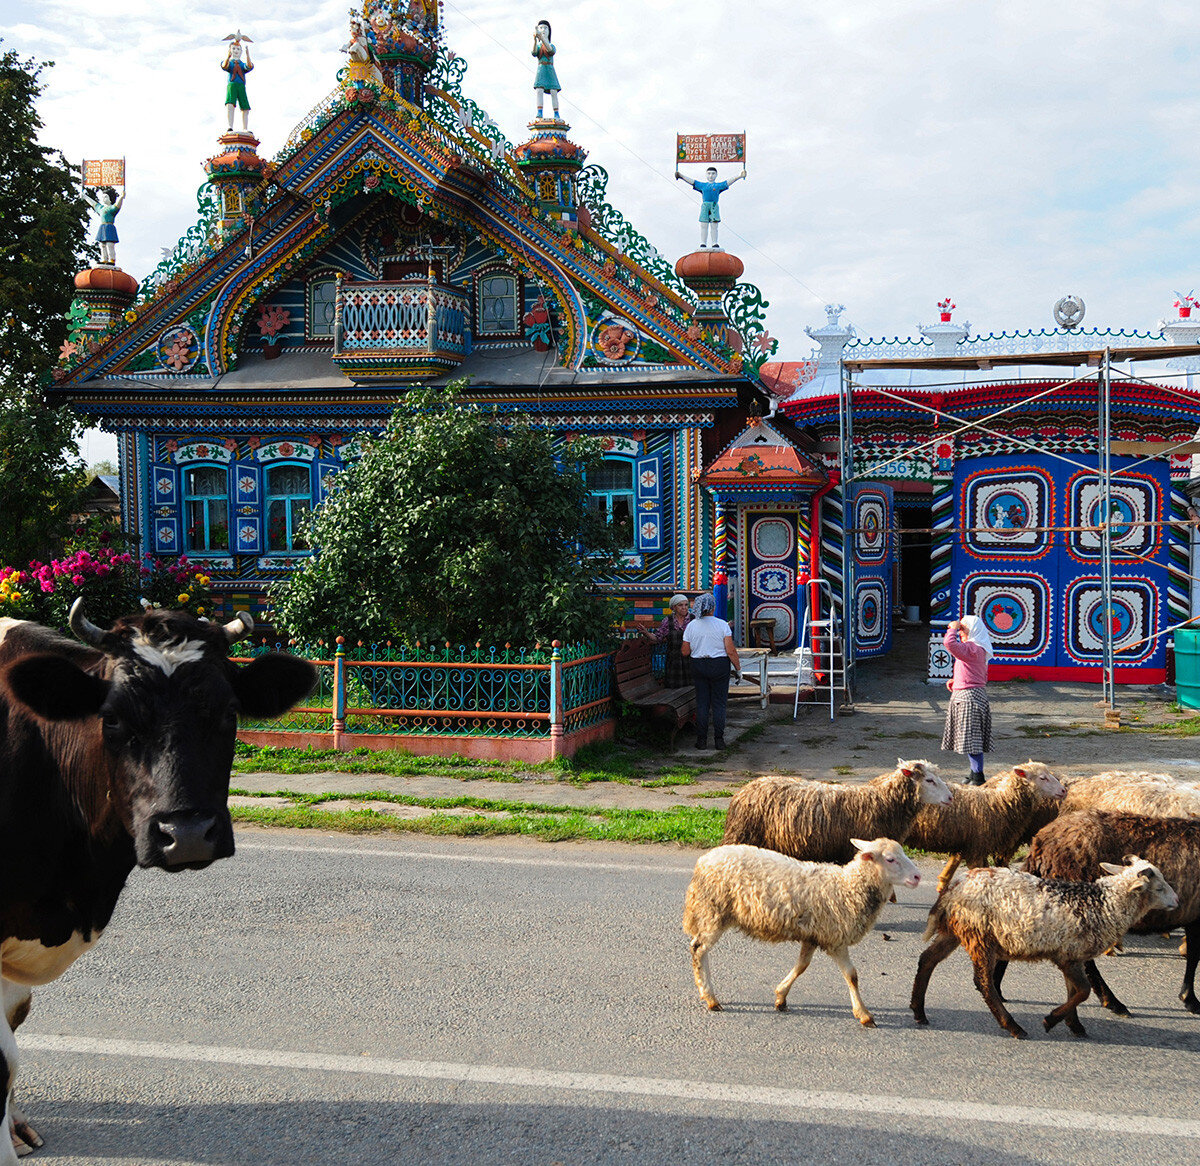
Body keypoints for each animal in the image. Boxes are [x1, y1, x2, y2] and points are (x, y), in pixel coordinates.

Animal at [681, 834, 921, 1026]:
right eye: (890, 859)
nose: (918, 877)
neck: (848, 887)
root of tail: (703, 861)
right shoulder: (836, 939)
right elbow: (852, 976)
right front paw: (864, 1015)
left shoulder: (813, 935)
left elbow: (801, 966)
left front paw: (781, 997)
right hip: (714, 911)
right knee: (699, 949)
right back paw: (710, 998)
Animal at [912, 854, 1176, 1036]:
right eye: (1159, 887)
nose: (1177, 900)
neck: (1104, 904)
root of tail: (956, 885)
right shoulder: (1068, 956)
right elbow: (1082, 991)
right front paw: (1052, 1020)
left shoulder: (1073, 956)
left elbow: (1074, 991)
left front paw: (1075, 1026)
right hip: (980, 936)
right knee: (983, 982)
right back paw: (1013, 1026)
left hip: (958, 932)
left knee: (927, 960)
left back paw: (919, 1012)